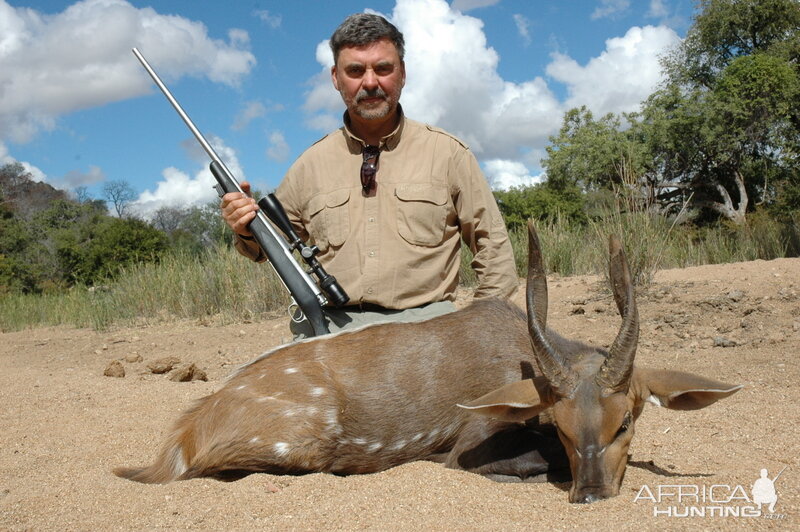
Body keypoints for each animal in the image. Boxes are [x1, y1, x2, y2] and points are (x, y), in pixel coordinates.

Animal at [115, 221, 740, 502]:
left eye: (626, 420)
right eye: (560, 427)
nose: (589, 494)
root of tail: (182, 437)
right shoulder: (469, 445)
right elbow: (512, 463)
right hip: (302, 444)